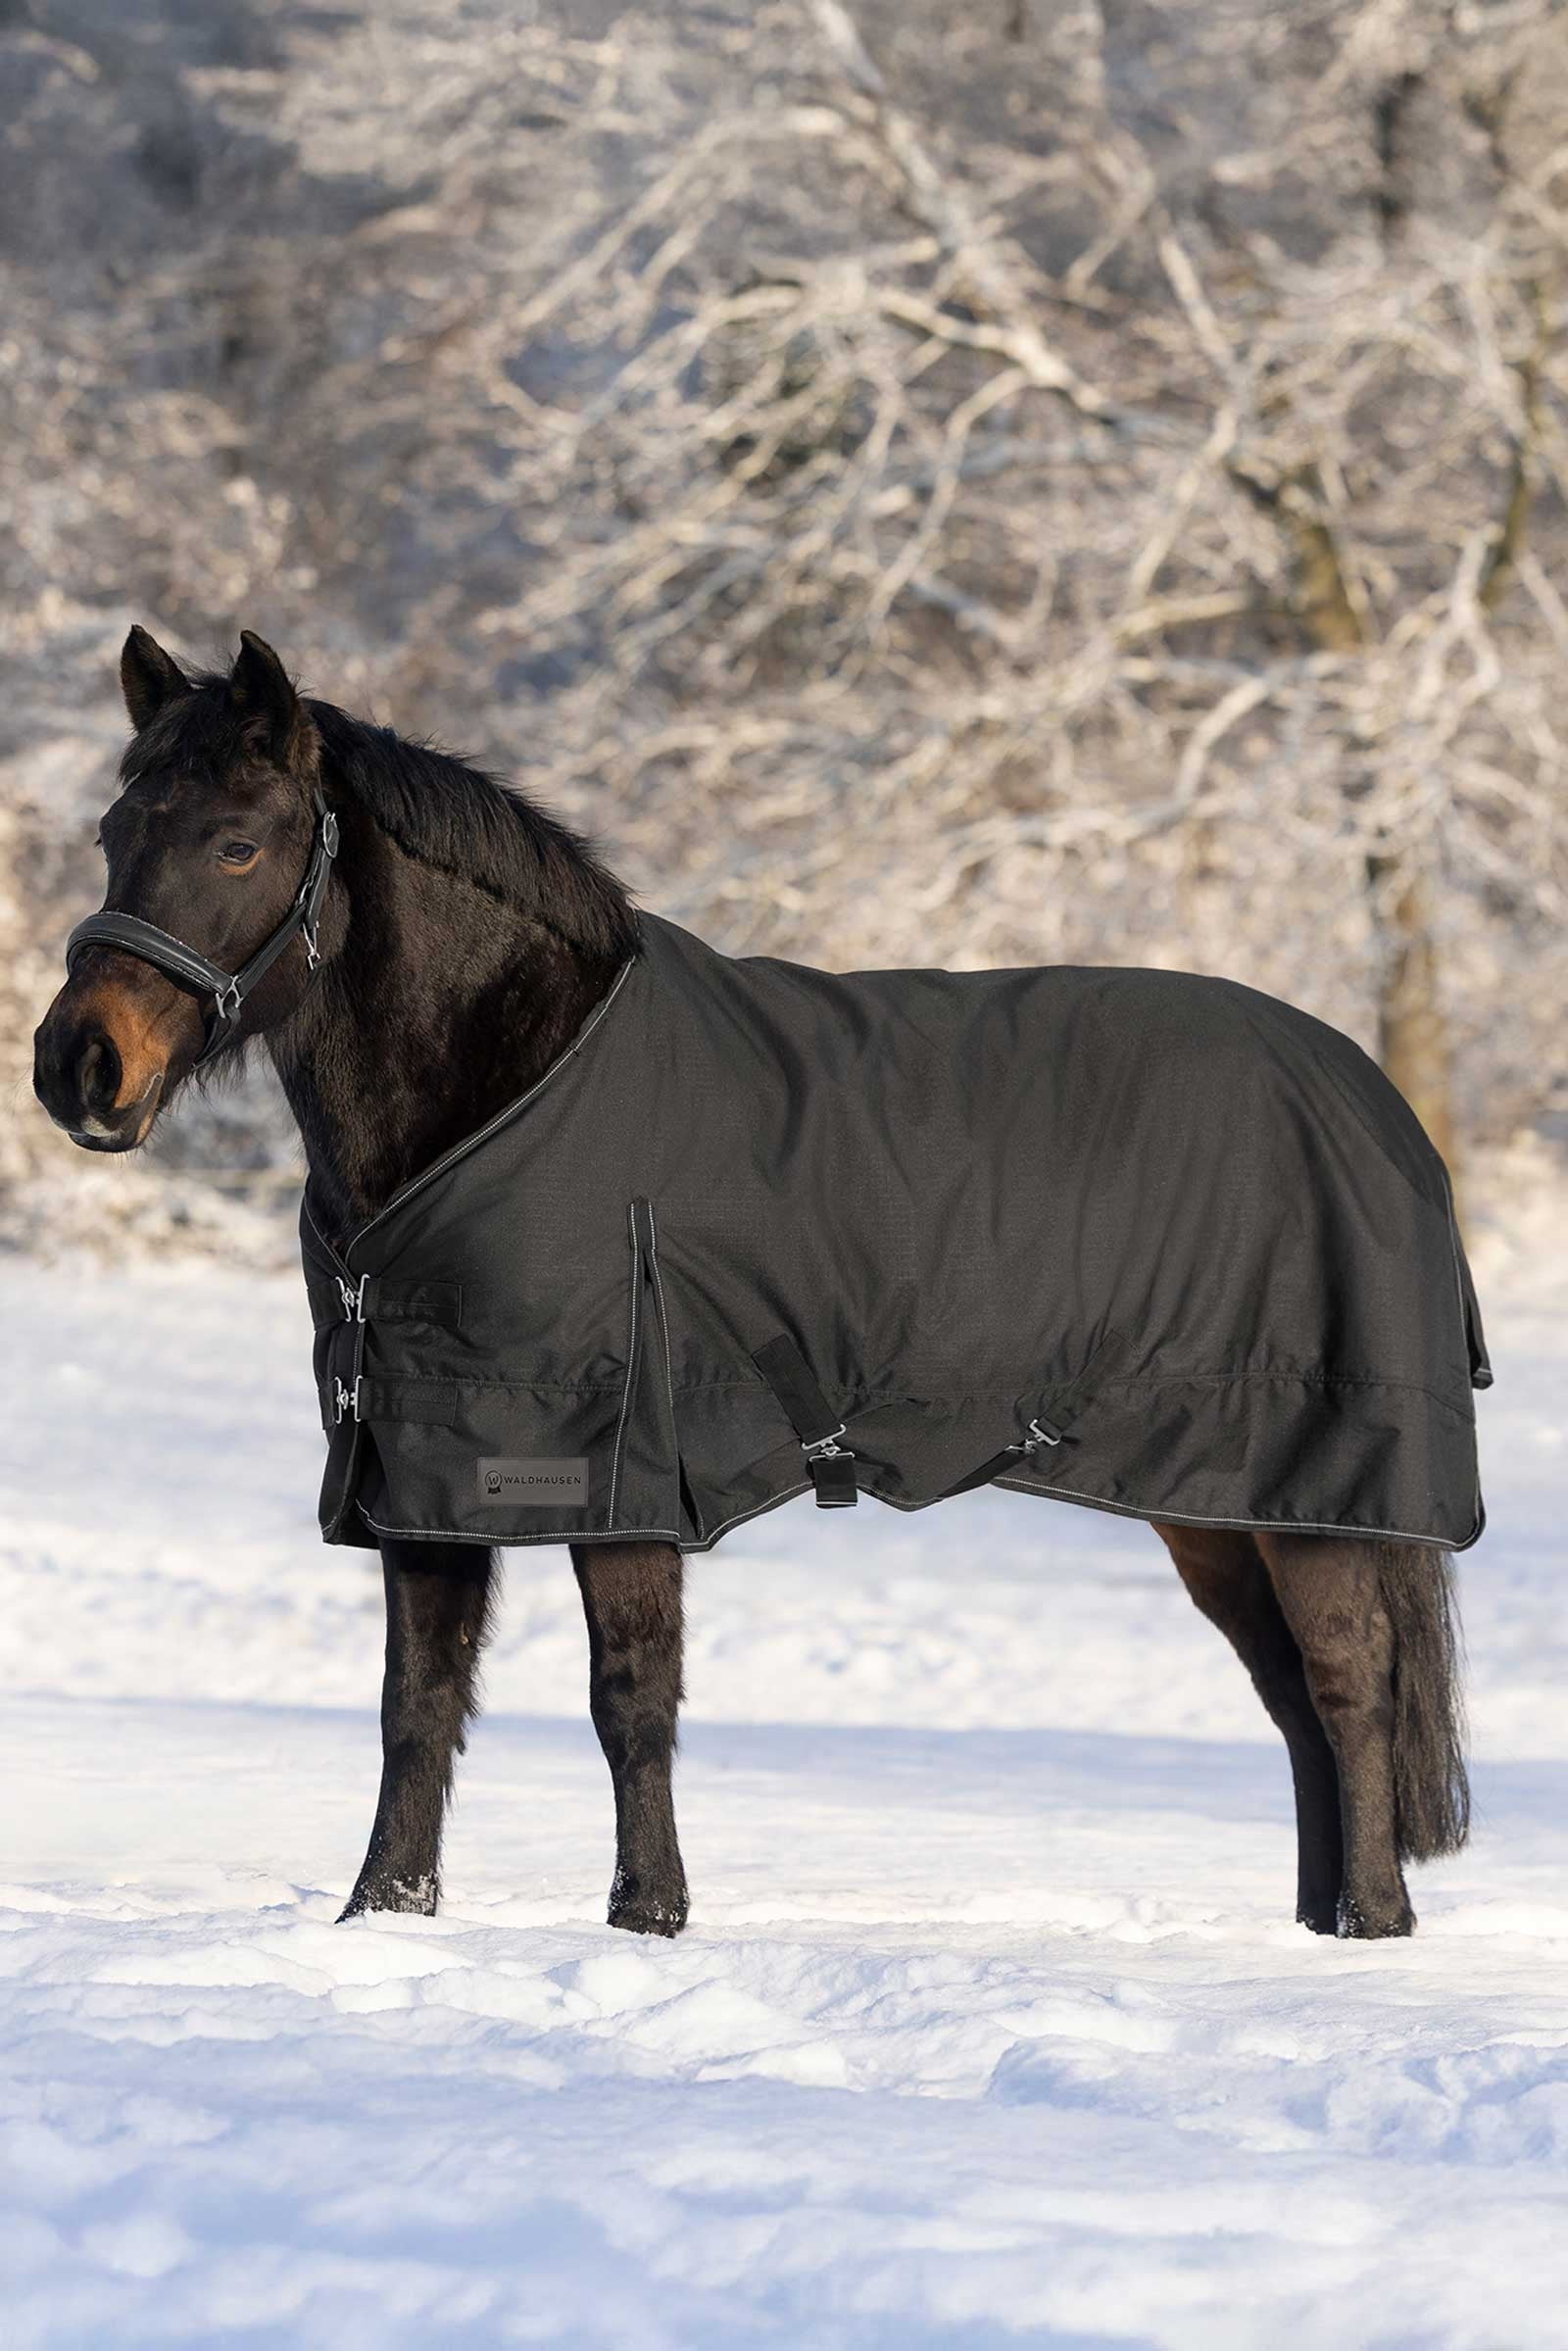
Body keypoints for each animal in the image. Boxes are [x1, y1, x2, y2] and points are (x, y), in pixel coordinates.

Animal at [33, 626, 1474, 1941]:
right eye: (113, 830)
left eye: (236, 843)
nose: (78, 1067)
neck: (510, 1087)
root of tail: (1374, 1101)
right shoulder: (423, 1466)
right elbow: (417, 1705)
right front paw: (383, 1915)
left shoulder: (612, 1465)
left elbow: (630, 1698)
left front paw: (648, 1915)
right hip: (1216, 1503)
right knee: (1291, 1697)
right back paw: (1323, 1925)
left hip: (1306, 1490)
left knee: (1348, 1683)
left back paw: (1370, 1927)